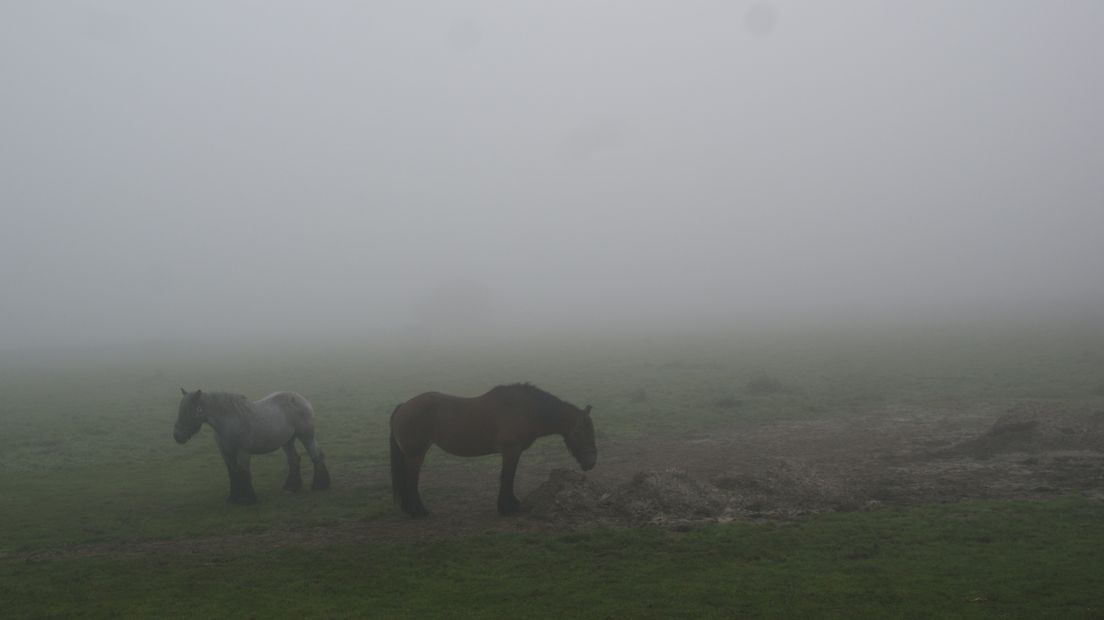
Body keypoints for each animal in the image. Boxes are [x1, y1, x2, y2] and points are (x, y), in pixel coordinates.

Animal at [172, 386, 331, 503]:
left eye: (191, 410)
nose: (177, 436)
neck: (228, 423)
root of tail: (302, 399)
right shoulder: (226, 453)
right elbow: (233, 473)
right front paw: (233, 498)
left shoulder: (243, 452)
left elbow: (243, 472)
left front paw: (248, 498)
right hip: (287, 441)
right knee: (294, 459)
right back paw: (291, 486)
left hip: (307, 437)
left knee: (316, 456)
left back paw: (320, 485)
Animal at [388, 381, 596, 516]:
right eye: (583, 432)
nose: (591, 462)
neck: (527, 409)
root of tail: (404, 406)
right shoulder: (511, 450)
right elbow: (507, 477)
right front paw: (507, 507)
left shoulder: (513, 452)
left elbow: (509, 477)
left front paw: (511, 504)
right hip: (415, 455)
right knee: (411, 480)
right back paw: (419, 511)